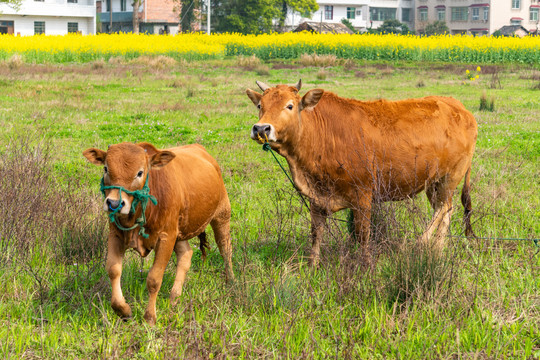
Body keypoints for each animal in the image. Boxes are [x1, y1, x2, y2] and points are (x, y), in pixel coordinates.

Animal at [83, 142, 233, 324]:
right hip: (179, 232)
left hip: (222, 214)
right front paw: (123, 310)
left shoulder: (165, 238)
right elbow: (113, 270)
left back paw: (231, 281)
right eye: (106, 168)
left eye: (140, 172)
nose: (114, 203)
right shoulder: (115, 234)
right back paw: (174, 298)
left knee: (225, 249)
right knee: (186, 254)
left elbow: (154, 279)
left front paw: (150, 318)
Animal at [246, 81, 476, 268]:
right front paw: (312, 266)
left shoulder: (363, 196)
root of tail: (458, 106)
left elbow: (363, 235)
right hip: (433, 183)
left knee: (443, 208)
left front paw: (365, 266)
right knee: (445, 210)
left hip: (450, 177)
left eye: (290, 106)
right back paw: (437, 250)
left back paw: (422, 243)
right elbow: (316, 233)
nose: (261, 128)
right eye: (260, 106)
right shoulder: (317, 198)